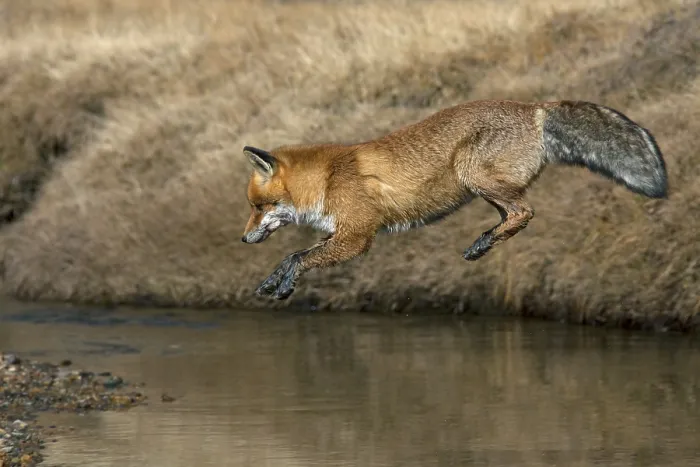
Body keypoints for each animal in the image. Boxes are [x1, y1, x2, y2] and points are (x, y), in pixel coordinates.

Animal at [240, 99, 668, 301]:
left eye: (258, 207)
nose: (243, 239)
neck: (328, 179)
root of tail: (534, 108)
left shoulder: (357, 236)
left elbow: (300, 257)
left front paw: (285, 285)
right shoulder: (338, 233)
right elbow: (292, 256)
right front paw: (272, 283)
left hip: (471, 173)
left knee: (526, 211)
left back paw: (482, 243)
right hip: (482, 186)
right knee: (515, 212)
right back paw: (484, 243)